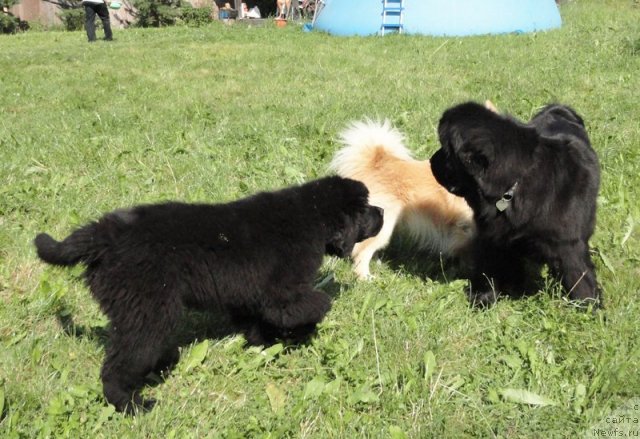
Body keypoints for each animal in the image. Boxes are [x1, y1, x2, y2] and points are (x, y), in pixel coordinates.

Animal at [33, 176, 380, 416]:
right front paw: (301, 333)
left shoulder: (249, 295)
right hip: (147, 310)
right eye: (365, 209)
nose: (383, 212)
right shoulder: (283, 293)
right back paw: (132, 405)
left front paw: (265, 342)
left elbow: (257, 321)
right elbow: (314, 305)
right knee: (119, 365)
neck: (313, 216)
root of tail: (103, 233)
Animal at [430, 102, 600, 310]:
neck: (512, 187)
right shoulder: (491, 237)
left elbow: (578, 276)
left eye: (446, 152)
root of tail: (558, 109)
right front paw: (485, 298)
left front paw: (588, 307)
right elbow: (489, 269)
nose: (431, 160)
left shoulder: (568, 244)